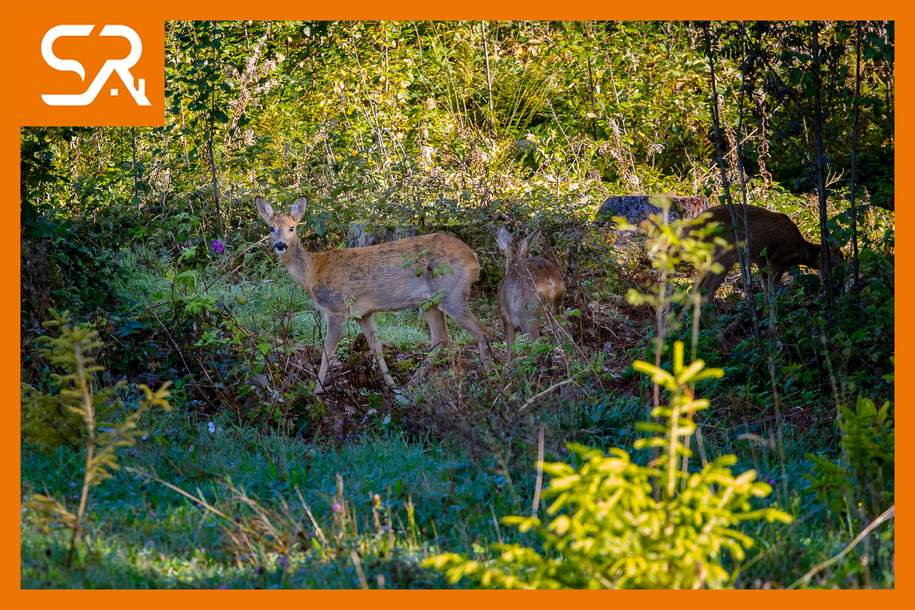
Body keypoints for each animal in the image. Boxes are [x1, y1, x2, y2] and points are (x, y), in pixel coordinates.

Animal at [254, 197, 490, 392]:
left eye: (292, 227)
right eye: (271, 228)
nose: (281, 245)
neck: (313, 272)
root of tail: (473, 257)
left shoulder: (337, 309)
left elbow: (326, 353)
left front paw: (317, 392)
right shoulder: (364, 313)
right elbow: (377, 348)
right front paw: (391, 385)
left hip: (452, 292)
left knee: (482, 331)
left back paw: (489, 379)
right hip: (430, 301)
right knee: (441, 338)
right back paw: (412, 384)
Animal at [494, 227, 564, 360]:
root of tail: (549, 278)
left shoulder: (506, 318)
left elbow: (510, 347)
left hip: (527, 314)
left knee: (535, 345)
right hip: (556, 302)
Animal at [696, 204, 844, 296]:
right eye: (835, 262)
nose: (838, 283)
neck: (800, 251)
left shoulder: (762, 262)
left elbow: (766, 290)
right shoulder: (777, 261)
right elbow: (774, 290)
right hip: (722, 254)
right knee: (707, 291)